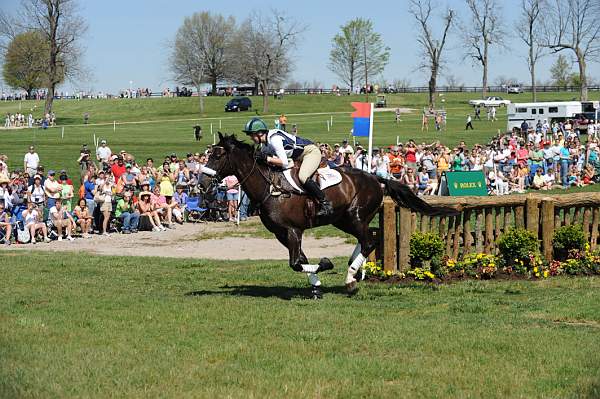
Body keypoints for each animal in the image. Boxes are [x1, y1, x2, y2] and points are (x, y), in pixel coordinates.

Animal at [206, 135, 454, 300]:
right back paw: (353, 270)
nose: (203, 182)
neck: (270, 187)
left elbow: (296, 263)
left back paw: (350, 279)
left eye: (218, 155)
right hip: (343, 219)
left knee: (369, 241)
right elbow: (301, 260)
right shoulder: (281, 234)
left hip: (354, 216)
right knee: (367, 239)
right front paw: (316, 287)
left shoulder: (293, 230)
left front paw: (325, 264)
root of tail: (375, 177)